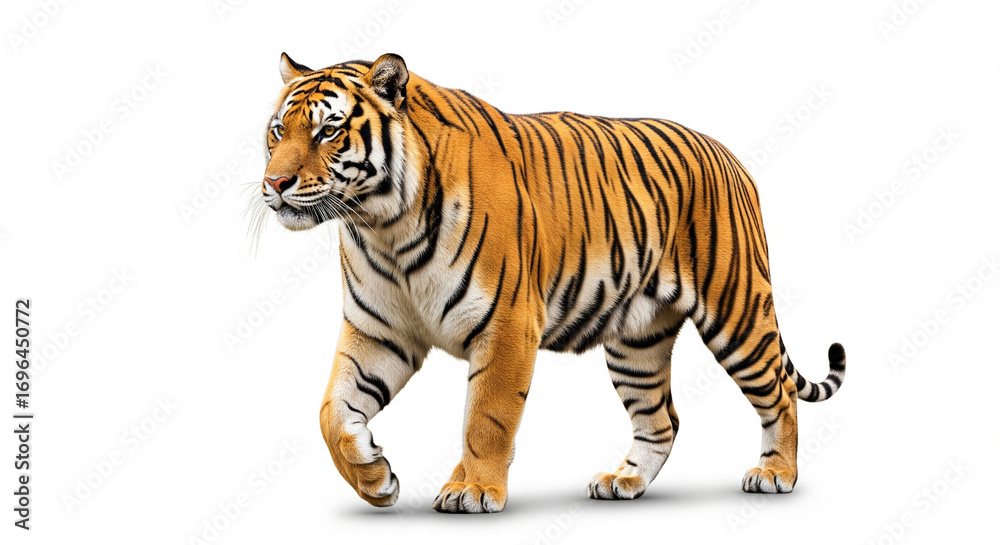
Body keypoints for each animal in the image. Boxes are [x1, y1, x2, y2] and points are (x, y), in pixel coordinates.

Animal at [256, 52, 846, 513]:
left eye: (328, 130)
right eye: (278, 131)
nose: (274, 182)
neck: (382, 225)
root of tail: (729, 155)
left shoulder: (507, 324)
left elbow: (486, 417)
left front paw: (473, 491)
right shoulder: (379, 332)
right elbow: (332, 412)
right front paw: (375, 479)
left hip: (737, 311)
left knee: (779, 393)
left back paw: (775, 475)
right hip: (637, 342)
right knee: (662, 419)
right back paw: (624, 481)